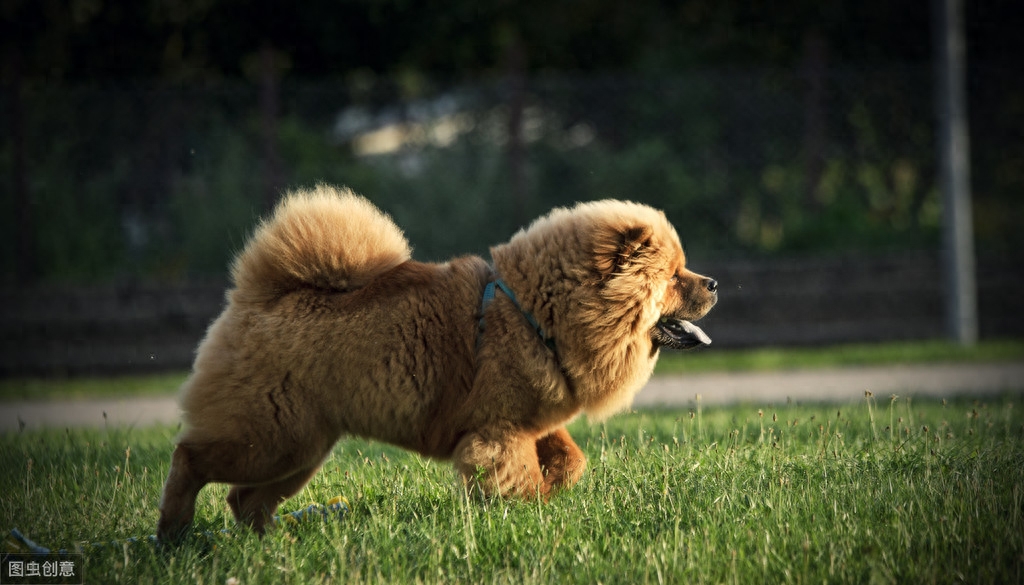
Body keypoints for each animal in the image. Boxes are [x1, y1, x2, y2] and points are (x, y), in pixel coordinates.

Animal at [157, 184, 720, 540]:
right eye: (674, 276)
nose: (713, 282)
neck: (538, 314)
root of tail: (255, 296)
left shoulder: (532, 420)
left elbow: (570, 458)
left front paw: (555, 488)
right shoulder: (499, 430)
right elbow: (520, 474)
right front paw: (532, 509)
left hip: (301, 448)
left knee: (244, 501)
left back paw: (275, 547)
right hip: (272, 437)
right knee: (190, 459)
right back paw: (174, 533)